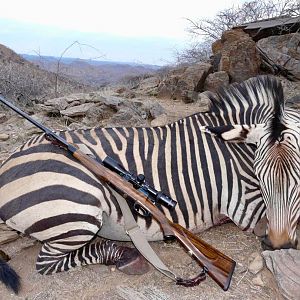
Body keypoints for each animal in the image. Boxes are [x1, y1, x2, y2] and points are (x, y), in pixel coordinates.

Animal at [0, 75, 298, 292]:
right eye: (260, 173)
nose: (277, 242)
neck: (235, 152)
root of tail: (7, 164)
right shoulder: (245, 206)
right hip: (80, 208)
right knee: (48, 262)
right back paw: (128, 257)